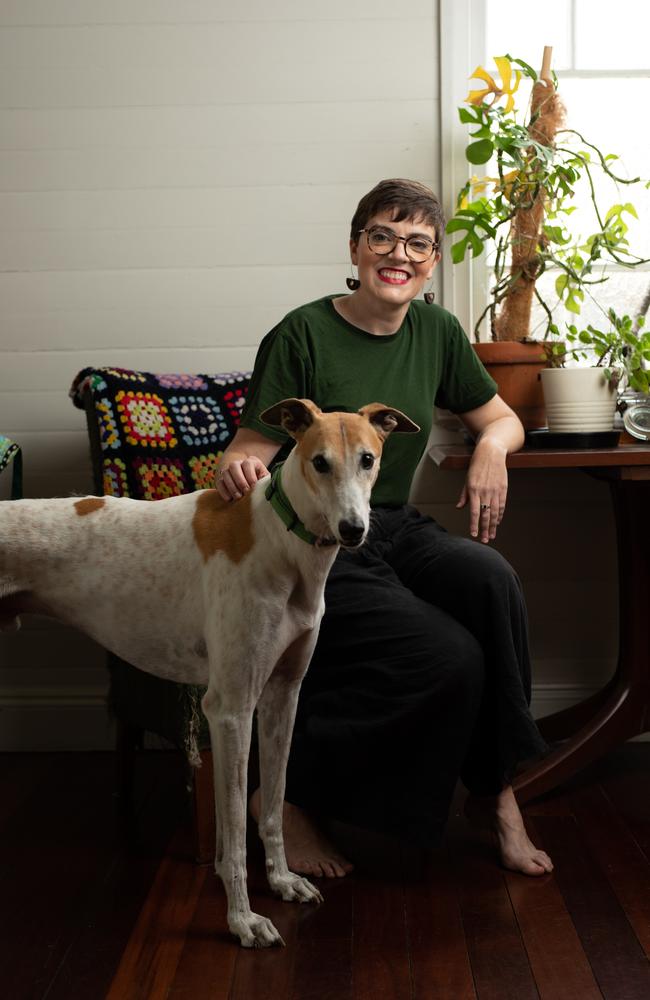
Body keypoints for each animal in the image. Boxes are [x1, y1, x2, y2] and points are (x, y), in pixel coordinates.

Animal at [0, 396, 418, 944]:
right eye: (319, 462)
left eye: (368, 459)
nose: (353, 531)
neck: (279, 539)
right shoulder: (230, 710)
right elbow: (236, 832)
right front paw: (243, 920)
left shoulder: (282, 696)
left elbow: (271, 810)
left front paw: (282, 881)